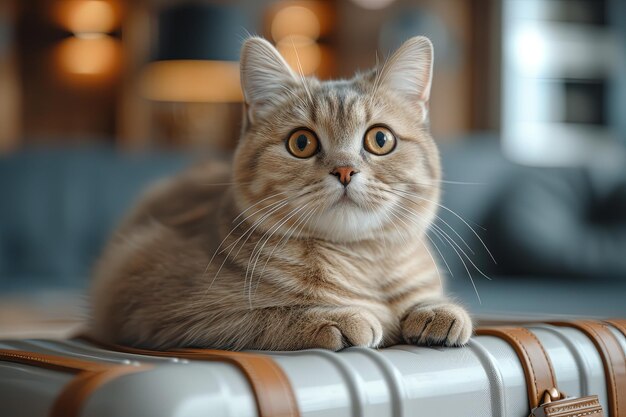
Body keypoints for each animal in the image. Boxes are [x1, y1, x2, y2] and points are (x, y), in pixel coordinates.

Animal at [90, 35, 470, 350]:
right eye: (302, 143)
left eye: (380, 139)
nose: (345, 170)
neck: (363, 262)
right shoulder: (152, 302)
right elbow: (261, 314)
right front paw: (337, 316)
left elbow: (422, 297)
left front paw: (438, 309)